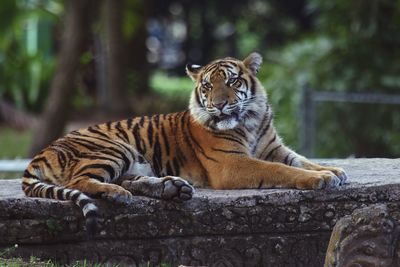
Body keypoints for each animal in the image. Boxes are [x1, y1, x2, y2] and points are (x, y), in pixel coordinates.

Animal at [21, 51, 346, 234]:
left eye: (232, 82)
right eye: (208, 86)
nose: (218, 105)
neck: (250, 120)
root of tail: (41, 153)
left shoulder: (274, 148)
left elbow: (301, 160)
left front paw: (334, 172)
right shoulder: (232, 163)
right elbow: (281, 170)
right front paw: (320, 179)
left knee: (126, 179)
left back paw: (170, 188)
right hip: (113, 148)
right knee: (79, 181)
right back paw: (118, 193)